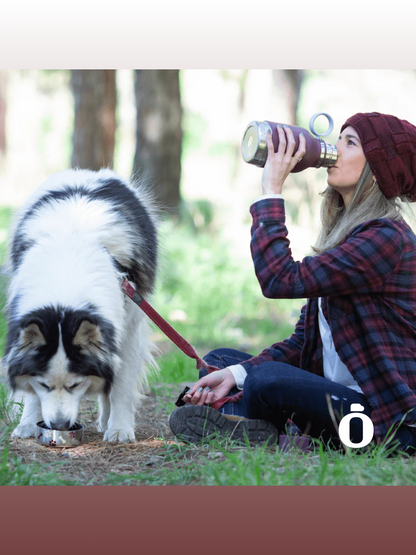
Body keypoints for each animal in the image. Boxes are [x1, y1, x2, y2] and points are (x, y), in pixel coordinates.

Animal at [1, 168, 159, 444]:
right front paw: (28, 423)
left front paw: (120, 429)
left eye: (75, 385)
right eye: (44, 385)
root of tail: (89, 172)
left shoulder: (127, 329)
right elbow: (30, 386)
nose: (59, 425)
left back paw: (107, 422)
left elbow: (120, 385)